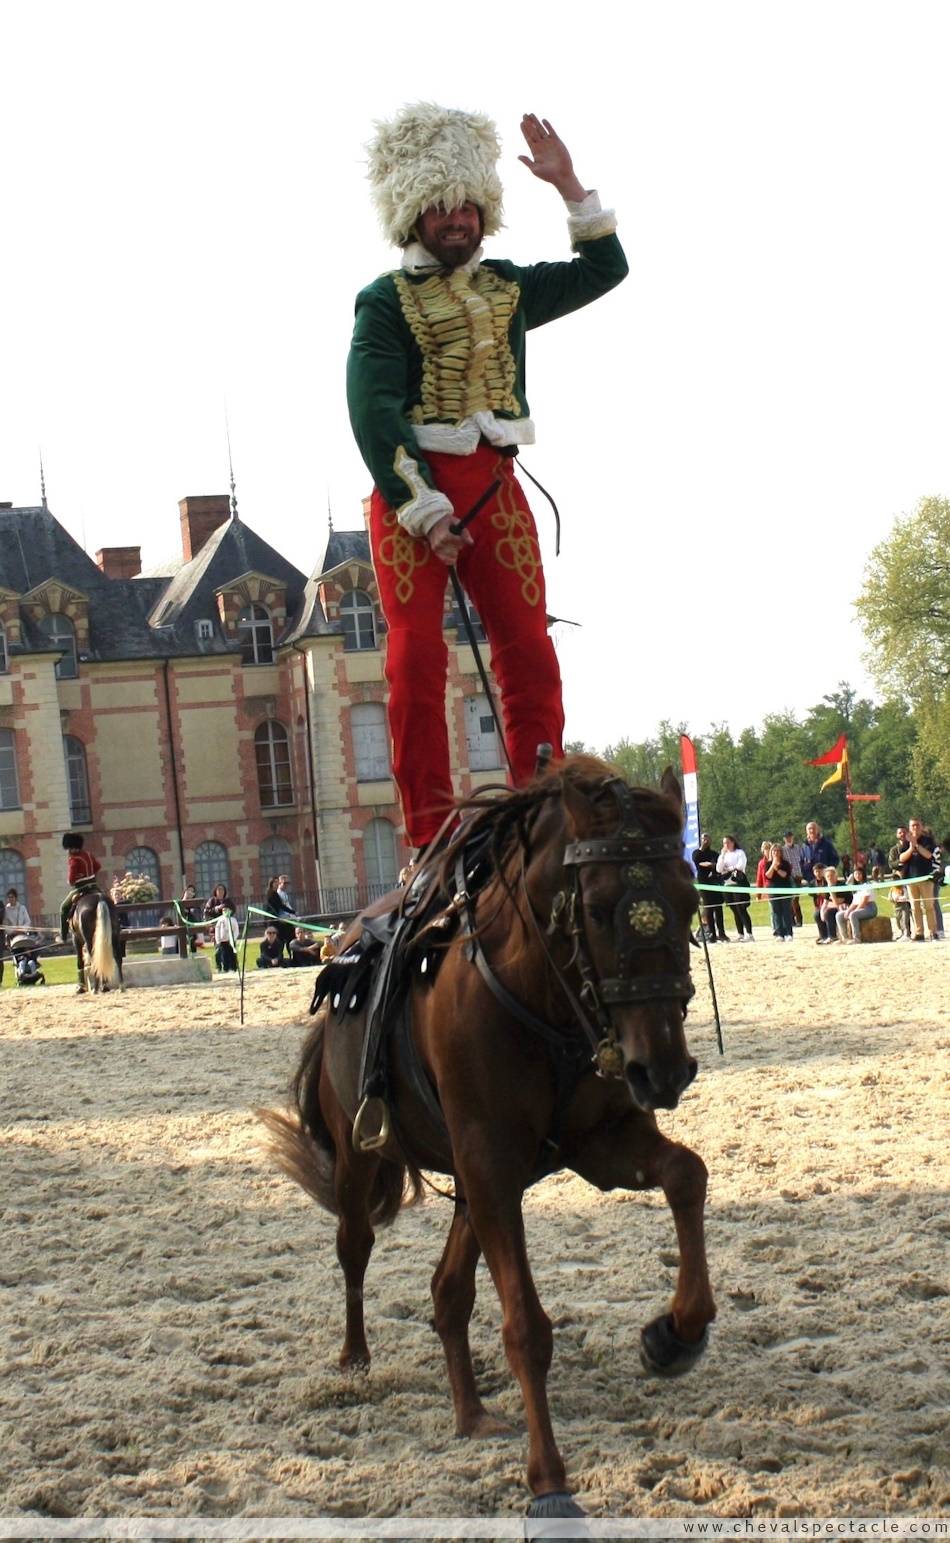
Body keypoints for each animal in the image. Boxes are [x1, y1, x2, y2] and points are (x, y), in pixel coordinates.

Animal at [261, 755, 715, 1520]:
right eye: (597, 907)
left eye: (687, 902)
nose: (663, 1068)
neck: (542, 995)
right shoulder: (491, 1162)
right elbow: (525, 1327)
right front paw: (549, 1481)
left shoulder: (597, 1143)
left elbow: (688, 1175)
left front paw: (675, 1333)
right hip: (365, 1160)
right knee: (355, 1246)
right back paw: (355, 1358)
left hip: (481, 1183)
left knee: (447, 1291)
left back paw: (471, 1412)